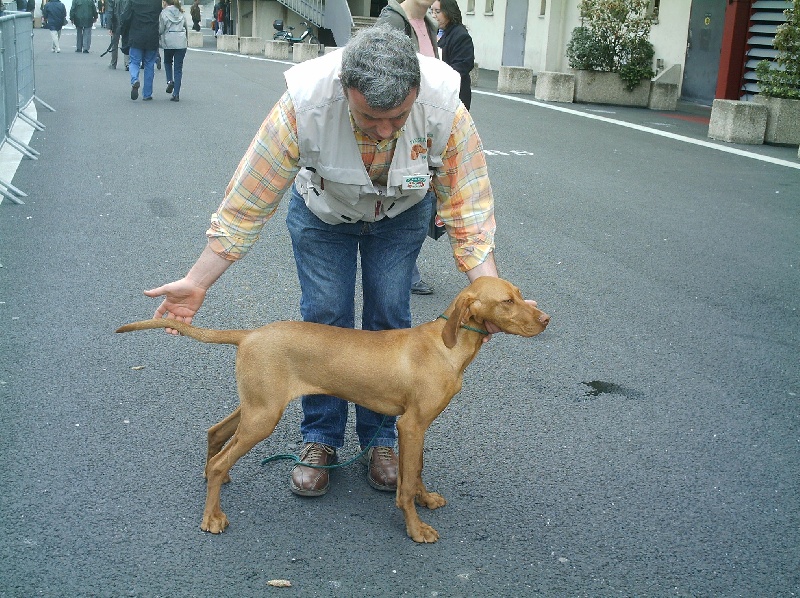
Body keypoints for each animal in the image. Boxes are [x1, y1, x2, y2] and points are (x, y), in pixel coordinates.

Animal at [115, 276, 548, 544]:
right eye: (507, 302)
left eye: (519, 294)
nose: (546, 319)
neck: (447, 346)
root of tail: (250, 334)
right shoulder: (411, 425)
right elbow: (406, 484)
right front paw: (416, 528)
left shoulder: (419, 426)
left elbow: (417, 471)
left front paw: (426, 499)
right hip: (263, 416)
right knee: (223, 457)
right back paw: (211, 517)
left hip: (256, 405)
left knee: (215, 434)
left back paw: (213, 480)